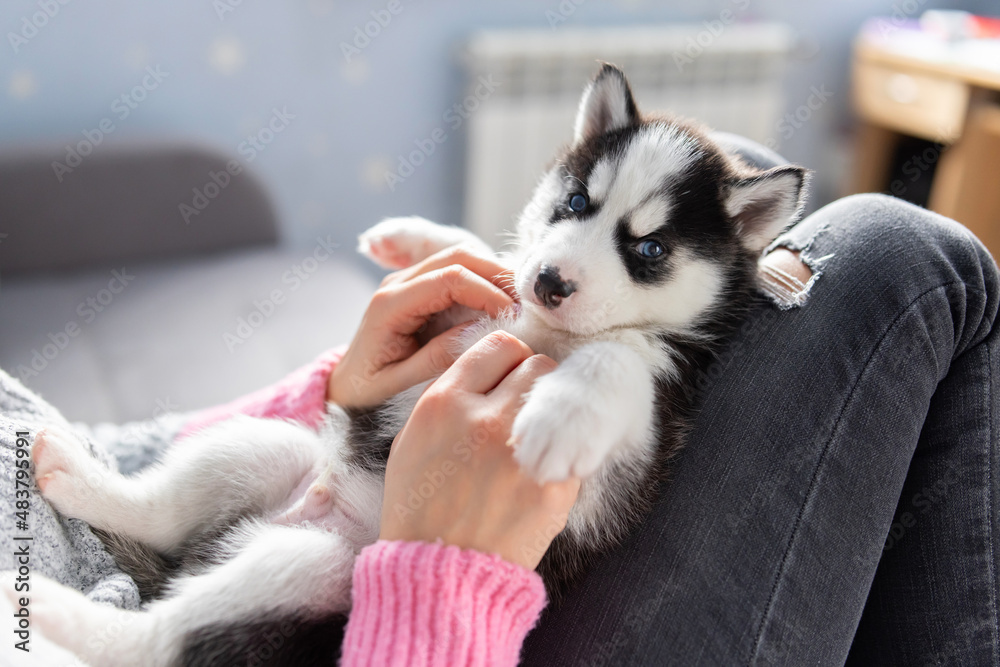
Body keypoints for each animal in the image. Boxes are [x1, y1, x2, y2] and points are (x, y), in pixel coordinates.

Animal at [19, 64, 808, 667]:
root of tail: (297, 514)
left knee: (154, 643)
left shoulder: (637, 446)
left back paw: (53, 605)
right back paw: (84, 483)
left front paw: (560, 416)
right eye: (576, 201)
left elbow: (618, 360)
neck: (547, 331)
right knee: (163, 513)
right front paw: (420, 239)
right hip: (267, 449)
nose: (551, 282)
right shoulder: (469, 311)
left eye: (649, 249)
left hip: (316, 567)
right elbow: (482, 259)